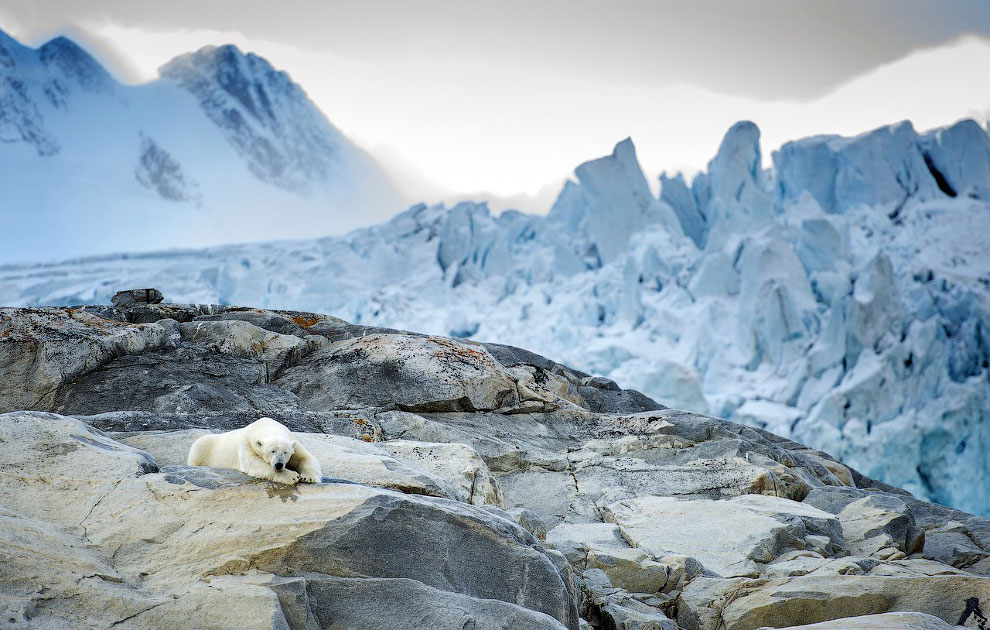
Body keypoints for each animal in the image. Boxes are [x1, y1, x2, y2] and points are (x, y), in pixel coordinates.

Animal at [188, 418, 324, 486]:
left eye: (285, 452)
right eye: (272, 451)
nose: (279, 464)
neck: (266, 426)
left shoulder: (292, 439)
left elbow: (305, 457)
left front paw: (308, 477)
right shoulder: (247, 443)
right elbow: (254, 463)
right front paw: (292, 476)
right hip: (202, 448)